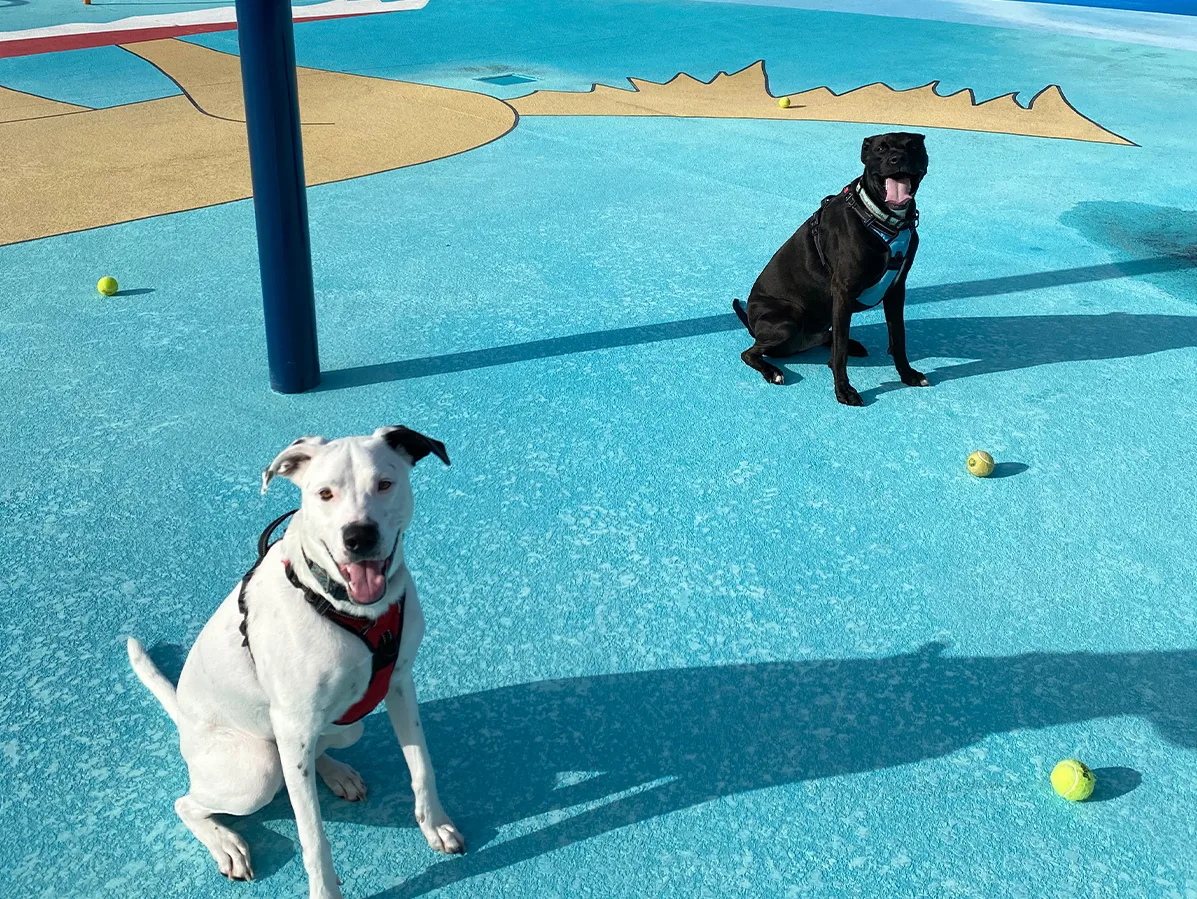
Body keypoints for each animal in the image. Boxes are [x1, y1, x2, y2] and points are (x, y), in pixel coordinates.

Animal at [127, 428, 462, 899]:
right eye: (324, 493)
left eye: (384, 484)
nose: (359, 536)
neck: (350, 611)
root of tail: (185, 723)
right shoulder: (294, 725)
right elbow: (312, 836)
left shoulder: (399, 683)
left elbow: (422, 767)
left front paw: (436, 826)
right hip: (257, 768)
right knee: (188, 802)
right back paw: (226, 843)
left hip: (341, 727)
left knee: (314, 751)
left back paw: (336, 772)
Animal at [732, 131, 928, 407]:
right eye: (880, 148)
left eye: (913, 146)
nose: (897, 158)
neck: (883, 219)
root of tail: (751, 324)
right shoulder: (844, 291)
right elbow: (840, 353)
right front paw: (843, 390)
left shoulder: (896, 289)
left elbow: (898, 337)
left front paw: (908, 375)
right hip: (789, 317)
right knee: (750, 353)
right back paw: (772, 371)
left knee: (829, 337)